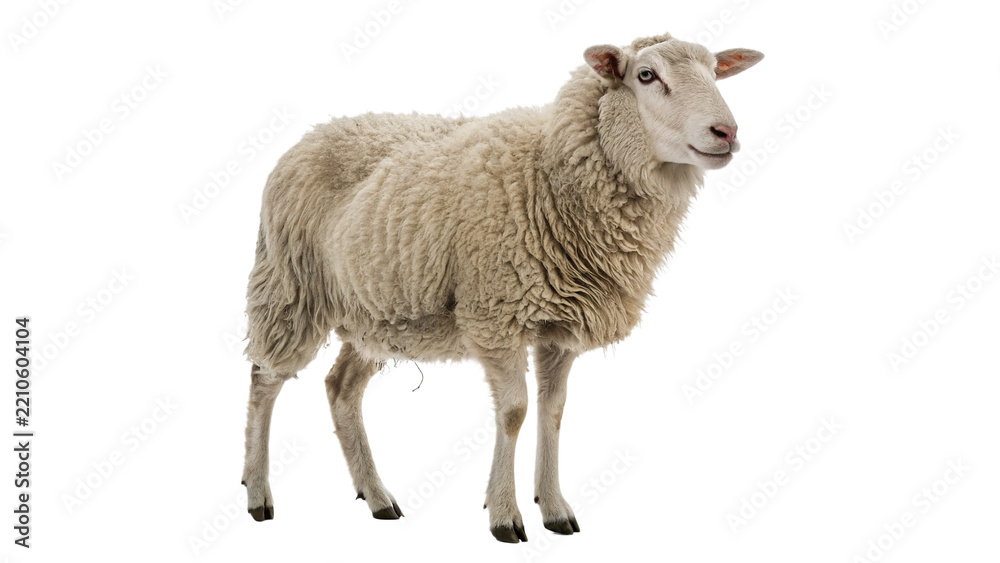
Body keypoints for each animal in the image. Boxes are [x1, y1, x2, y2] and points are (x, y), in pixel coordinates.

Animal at [241, 32, 763, 543]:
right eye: (647, 75)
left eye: (715, 72)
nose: (727, 132)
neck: (549, 172)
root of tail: (312, 134)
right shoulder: (496, 315)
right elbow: (514, 412)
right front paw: (505, 515)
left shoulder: (561, 328)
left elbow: (553, 412)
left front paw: (553, 508)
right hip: (291, 288)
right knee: (264, 378)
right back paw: (258, 493)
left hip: (379, 314)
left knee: (341, 387)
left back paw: (376, 497)